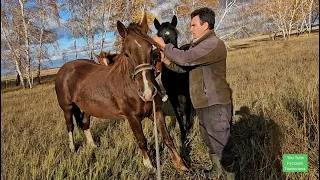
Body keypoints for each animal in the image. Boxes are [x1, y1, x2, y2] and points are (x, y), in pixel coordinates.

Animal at [54, 14, 188, 172]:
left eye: (151, 49)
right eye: (126, 54)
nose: (148, 92)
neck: (132, 87)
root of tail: (65, 68)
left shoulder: (157, 112)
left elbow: (167, 138)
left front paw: (181, 165)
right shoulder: (132, 118)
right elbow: (141, 140)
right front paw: (149, 166)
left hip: (86, 107)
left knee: (85, 124)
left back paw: (93, 146)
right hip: (67, 107)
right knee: (70, 126)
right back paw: (72, 148)